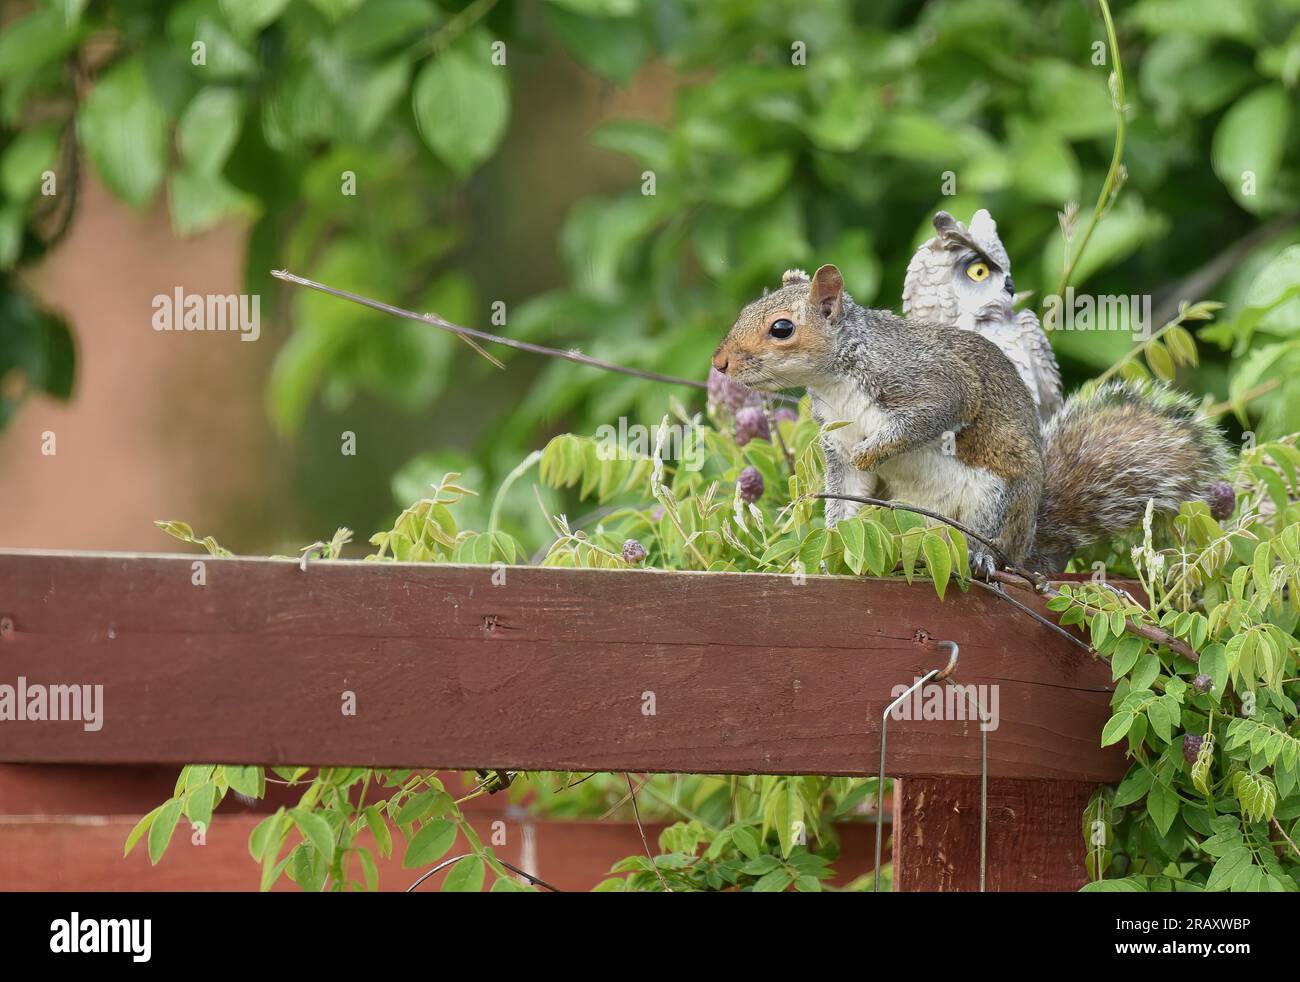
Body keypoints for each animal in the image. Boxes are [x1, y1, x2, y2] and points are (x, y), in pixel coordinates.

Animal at [712, 265, 1227, 580]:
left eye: (781, 328)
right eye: (742, 311)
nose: (719, 364)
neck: (835, 378)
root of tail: (1027, 546)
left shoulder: (931, 382)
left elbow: (930, 414)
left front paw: (874, 450)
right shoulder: (835, 440)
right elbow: (847, 499)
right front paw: (833, 549)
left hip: (994, 497)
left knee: (991, 543)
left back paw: (982, 556)